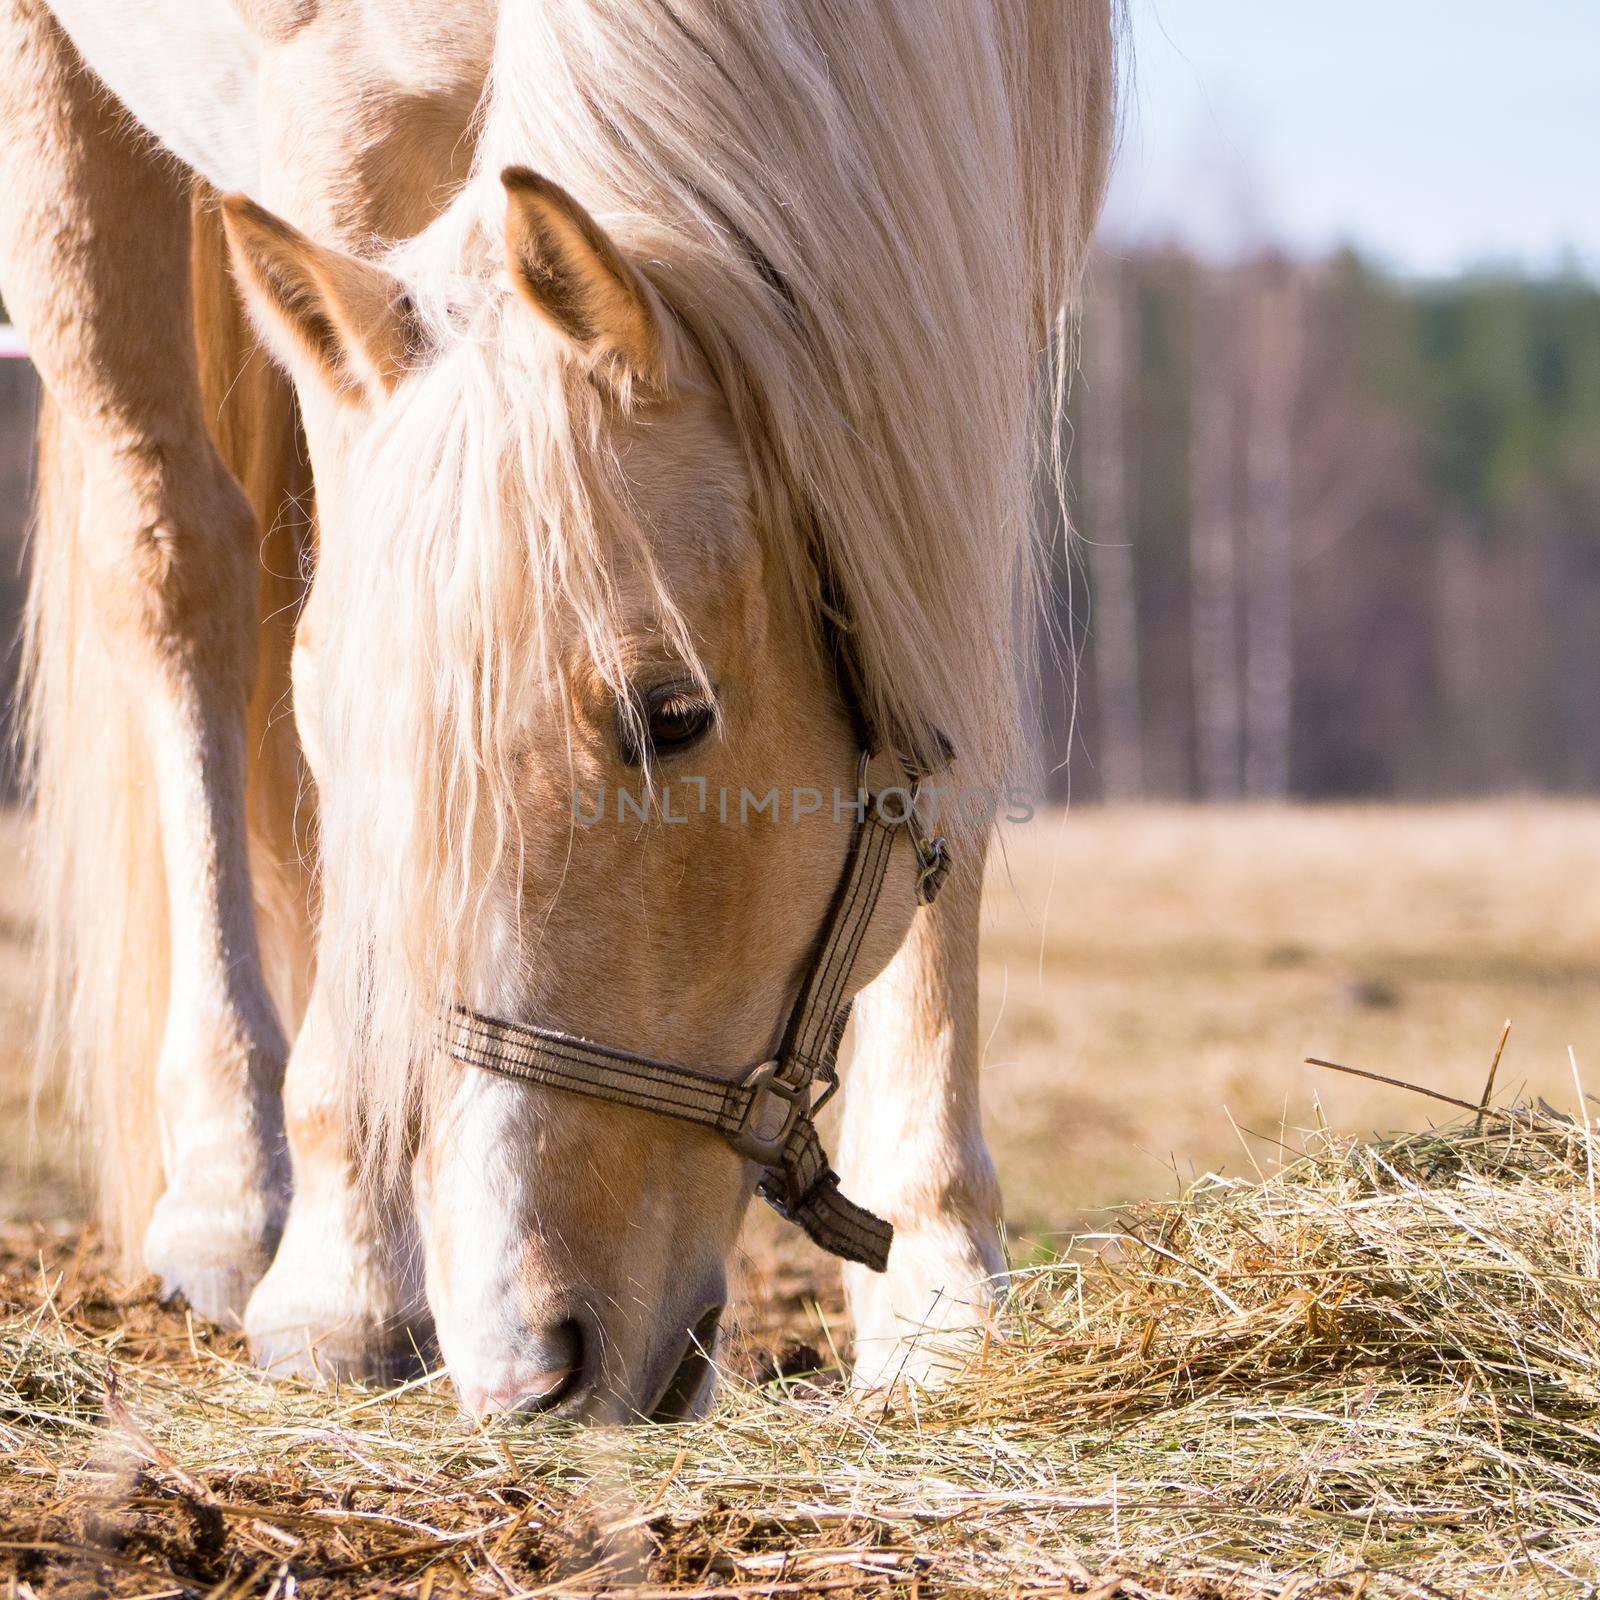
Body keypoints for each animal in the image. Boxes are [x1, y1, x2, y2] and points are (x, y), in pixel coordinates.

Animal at [3, 3, 1113, 1427]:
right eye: (352, 741)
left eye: (669, 716)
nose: (525, 1364)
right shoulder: (335, 120)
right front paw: (345, 1275)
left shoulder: (995, 202)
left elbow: (943, 691)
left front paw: (941, 1301)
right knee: (177, 560)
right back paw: (236, 1197)